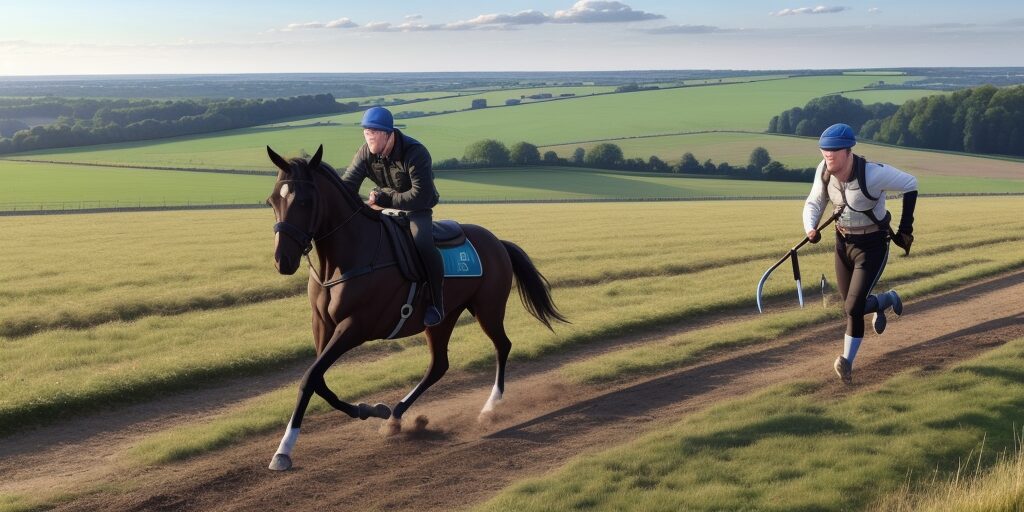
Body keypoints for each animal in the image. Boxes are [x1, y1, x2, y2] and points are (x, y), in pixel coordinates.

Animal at [264, 145, 569, 471]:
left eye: (305, 201)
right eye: (273, 200)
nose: (283, 260)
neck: (343, 260)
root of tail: (497, 241)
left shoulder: (355, 327)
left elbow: (310, 378)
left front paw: (284, 449)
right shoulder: (322, 325)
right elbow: (317, 379)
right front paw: (372, 409)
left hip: (487, 308)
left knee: (502, 346)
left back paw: (489, 408)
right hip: (443, 319)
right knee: (439, 365)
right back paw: (396, 415)